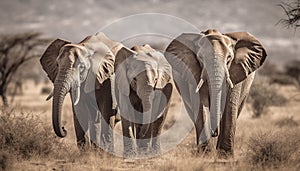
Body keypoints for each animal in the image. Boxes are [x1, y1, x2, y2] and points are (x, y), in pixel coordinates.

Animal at [164, 29, 268, 158]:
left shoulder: (235, 71)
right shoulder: (194, 73)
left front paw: (225, 156)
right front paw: (205, 155)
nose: (214, 132)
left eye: (229, 58)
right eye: (200, 58)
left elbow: (229, 105)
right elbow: (201, 105)